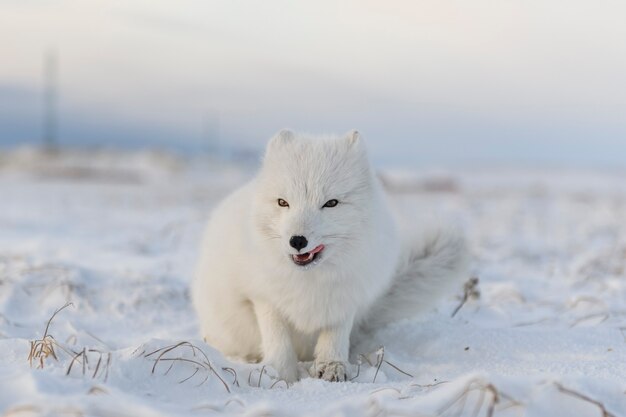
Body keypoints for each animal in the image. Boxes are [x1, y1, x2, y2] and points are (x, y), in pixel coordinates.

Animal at [193, 130, 466, 380]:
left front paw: (333, 367)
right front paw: (280, 375)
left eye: (331, 203)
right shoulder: (263, 298)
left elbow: (334, 335)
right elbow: (277, 338)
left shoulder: (345, 298)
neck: (308, 280)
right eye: (283, 202)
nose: (297, 241)